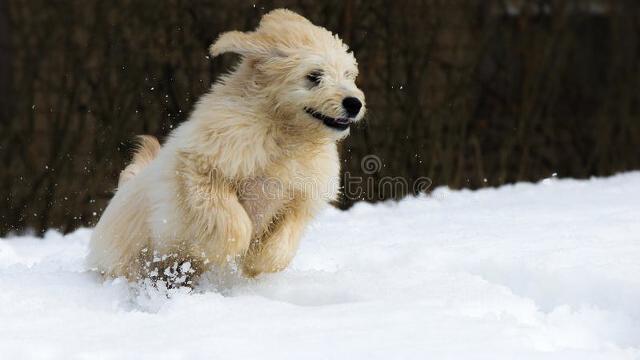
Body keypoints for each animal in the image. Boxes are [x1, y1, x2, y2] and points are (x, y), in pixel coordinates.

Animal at [87, 8, 364, 284]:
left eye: (348, 75)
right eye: (314, 76)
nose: (354, 103)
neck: (283, 134)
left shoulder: (299, 198)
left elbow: (284, 240)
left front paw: (257, 262)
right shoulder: (201, 171)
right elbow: (232, 218)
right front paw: (227, 249)